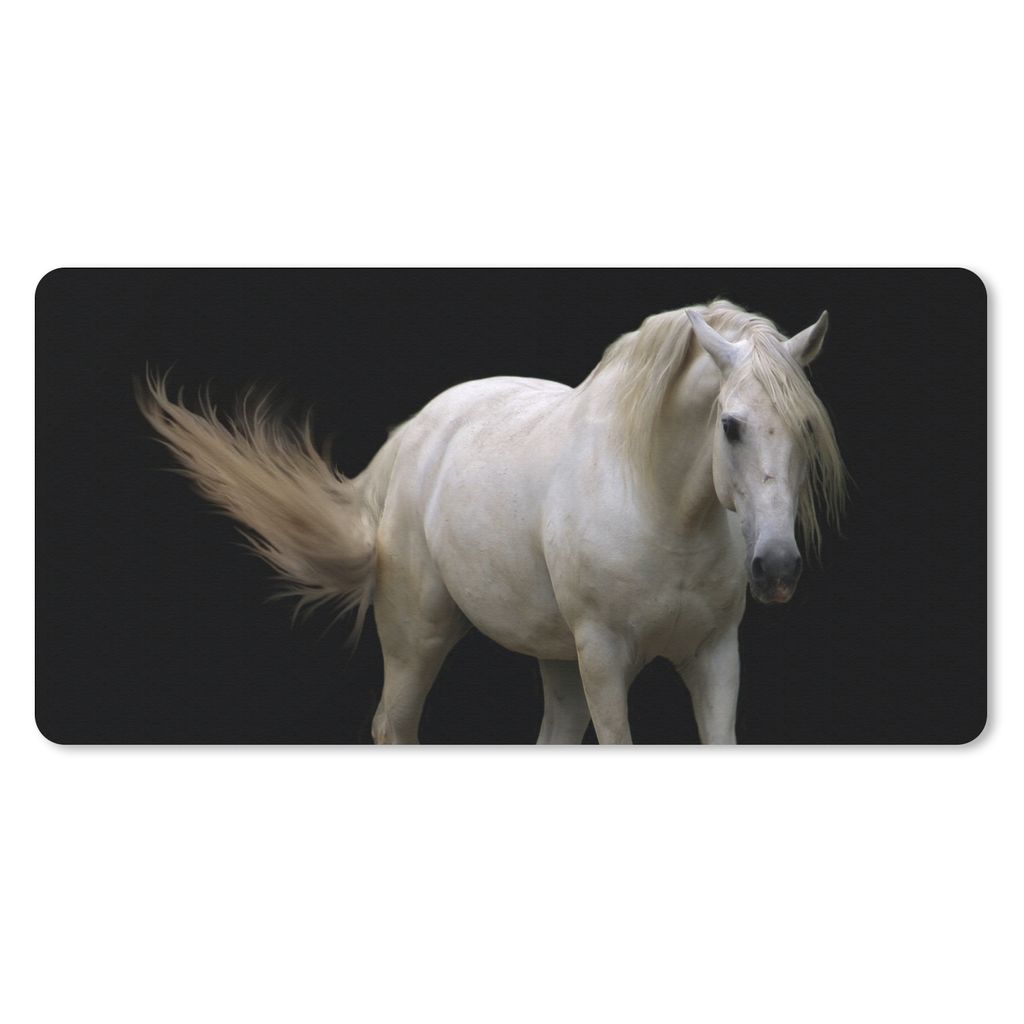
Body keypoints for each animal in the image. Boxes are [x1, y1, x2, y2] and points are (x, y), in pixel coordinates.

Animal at [136, 298, 846, 744]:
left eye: (808, 429)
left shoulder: (715, 656)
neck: (658, 502)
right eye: (730, 426)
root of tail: (413, 435)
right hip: (418, 639)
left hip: (556, 659)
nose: (777, 568)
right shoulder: (604, 656)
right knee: (393, 727)